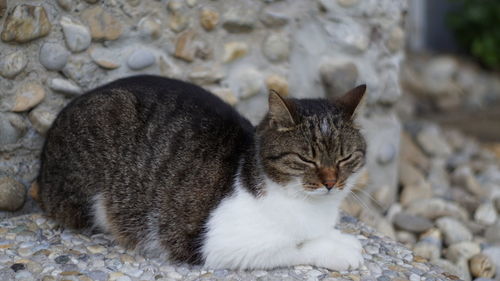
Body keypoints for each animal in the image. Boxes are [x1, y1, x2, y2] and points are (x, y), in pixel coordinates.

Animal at [38, 74, 368, 270]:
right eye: (306, 159)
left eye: (345, 157)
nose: (331, 182)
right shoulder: (220, 244)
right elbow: (297, 246)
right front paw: (340, 250)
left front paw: (338, 236)